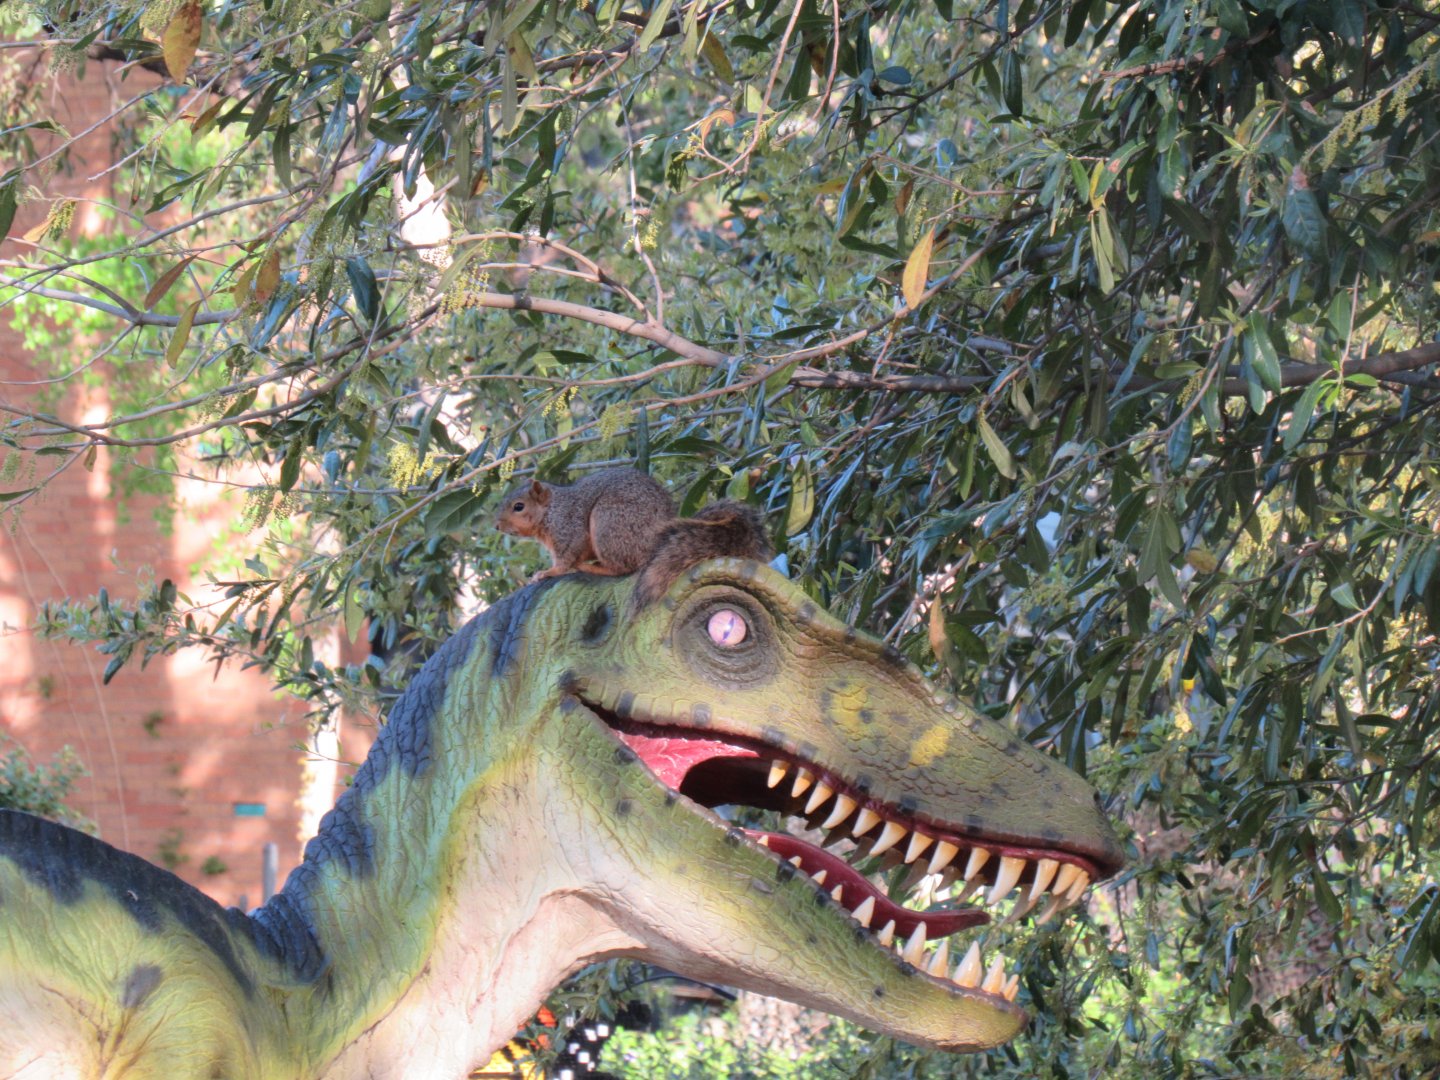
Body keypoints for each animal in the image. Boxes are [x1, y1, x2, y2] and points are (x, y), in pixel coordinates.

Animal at [495, 467, 772, 594]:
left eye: (518, 507)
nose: (497, 526)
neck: (550, 511)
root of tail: (658, 536)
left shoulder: (567, 528)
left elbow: (564, 559)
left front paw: (547, 573)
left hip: (609, 522)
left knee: (625, 567)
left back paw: (594, 567)